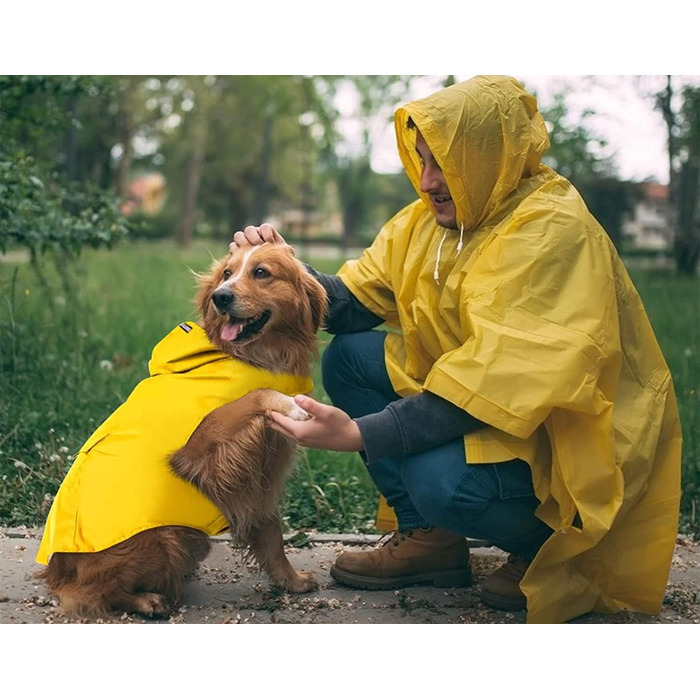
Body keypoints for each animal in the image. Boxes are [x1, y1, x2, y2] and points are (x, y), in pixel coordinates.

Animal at [39, 242, 330, 616]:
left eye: (261, 272)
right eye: (226, 273)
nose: (221, 296)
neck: (252, 356)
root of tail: (55, 573)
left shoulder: (261, 469)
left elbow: (271, 531)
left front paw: (289, 581)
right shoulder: (202, 445)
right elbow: (258, 394)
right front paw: (290, 404)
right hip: (161, 540)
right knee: (91, 593)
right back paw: (149, 600)